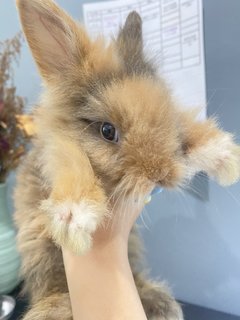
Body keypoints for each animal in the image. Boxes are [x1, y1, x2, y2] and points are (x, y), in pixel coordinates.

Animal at [14, 0, 240, 318]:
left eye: (165, 117)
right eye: (108, 131)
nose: (159, 174)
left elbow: (187, 123)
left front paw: (225, 157)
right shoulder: (53, 150)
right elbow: (70, 157)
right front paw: (74, 214)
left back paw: (162, 303)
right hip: (42, 257)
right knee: (53, 287)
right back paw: (52, 309)